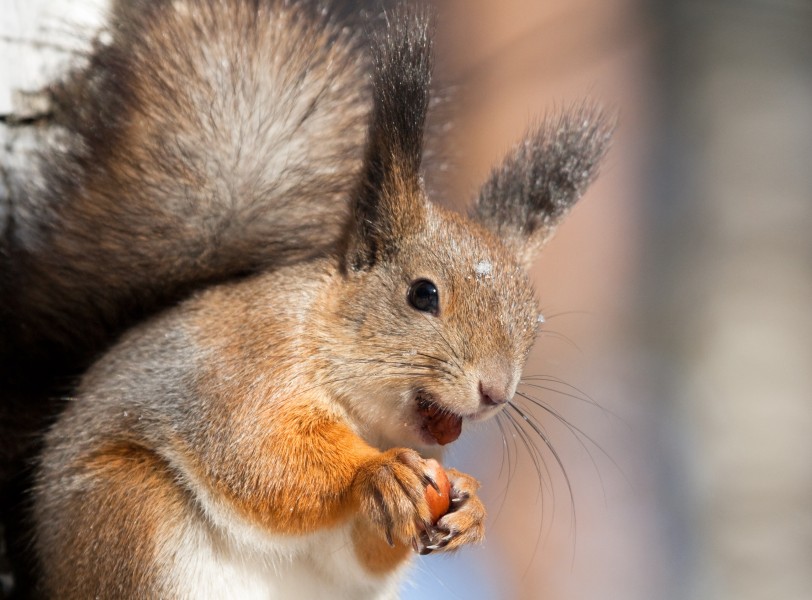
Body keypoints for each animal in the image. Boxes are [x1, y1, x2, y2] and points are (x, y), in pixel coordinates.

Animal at [0, 0, 608, 596]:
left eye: (534, 324)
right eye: (423, 293)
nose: (495, 393)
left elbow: (361, 556)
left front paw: (472, 508)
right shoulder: (246, 368)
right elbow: (262, 453)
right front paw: (376, 472)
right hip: (131, 514)